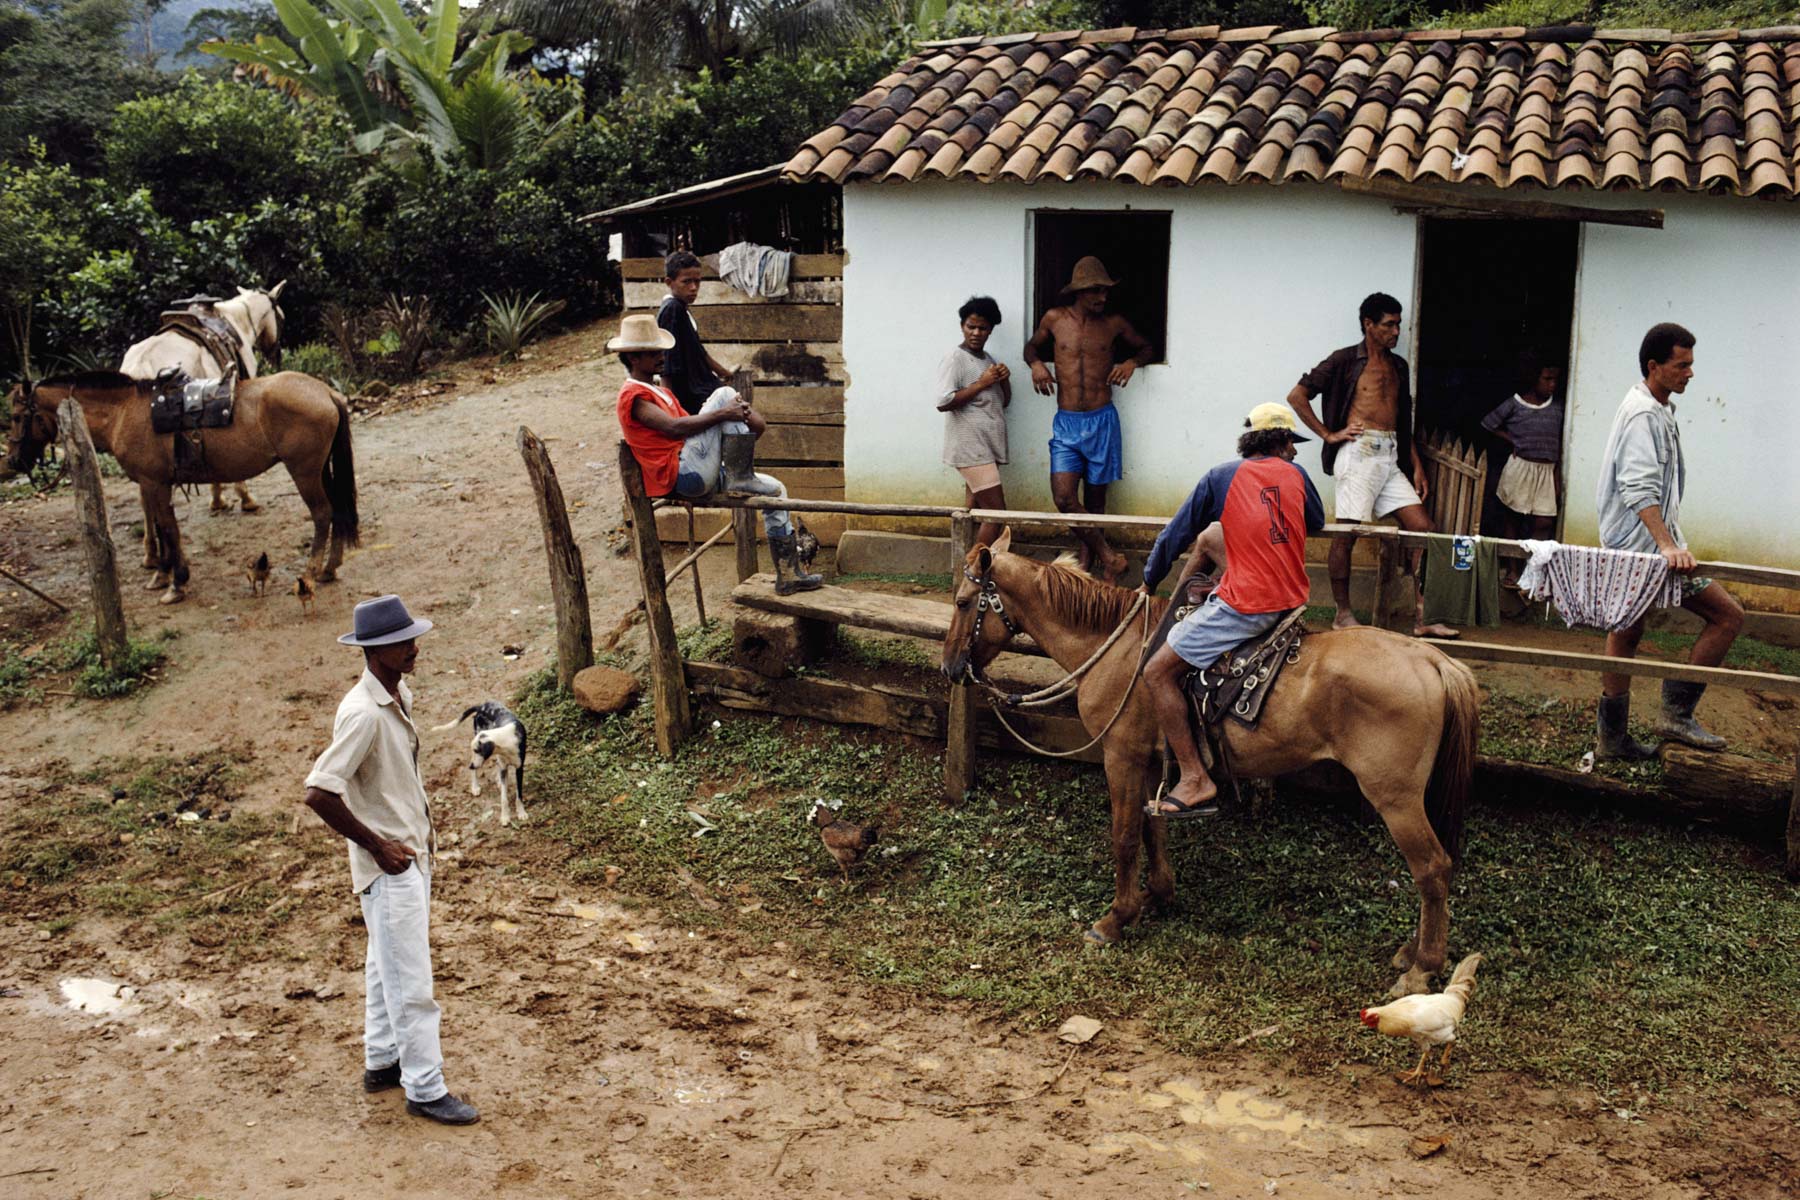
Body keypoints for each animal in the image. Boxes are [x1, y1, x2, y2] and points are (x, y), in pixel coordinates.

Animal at [7, 370, 356, 604]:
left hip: (304, 471)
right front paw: (162, 575)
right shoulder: (153, 484)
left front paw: (176, 583)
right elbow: (162, 528)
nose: (13, 461)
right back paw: (329, 568)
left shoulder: (155, 483)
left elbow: (168, 529)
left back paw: (310, 572)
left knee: (322, 514)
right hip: (320, 470)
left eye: (15, 416)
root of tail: (326, 392)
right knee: (337, 510)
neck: (123, 413)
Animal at [119, 282, 286, 564]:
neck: (236, 322)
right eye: (281, 317)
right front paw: (244, 499)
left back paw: (150, 553)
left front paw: (218, 500)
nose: (276, 353)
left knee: (145, 496)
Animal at [943, 532, 1476, 993]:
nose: (950, 668)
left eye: (964, 602)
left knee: (1432, 868)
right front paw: (1157, 893)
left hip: (1395, 796)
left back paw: (1422, 968)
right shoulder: (1152, 759)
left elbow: (1124, 836)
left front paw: (1115, 917)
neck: (1116, 648)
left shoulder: (1121, 754)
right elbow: (1151, 827)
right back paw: (1412, 952)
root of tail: (1432, 661)